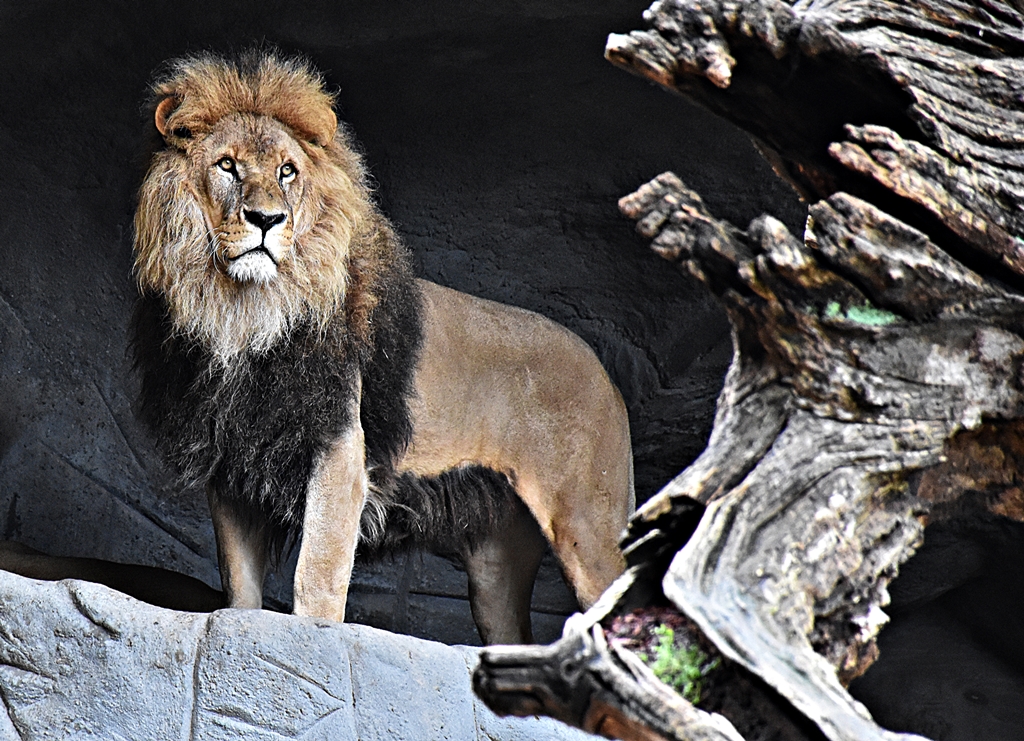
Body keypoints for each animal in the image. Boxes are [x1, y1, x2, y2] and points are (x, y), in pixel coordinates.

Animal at [130, 51, 634, 644]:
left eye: (287, 171)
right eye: (227, 166)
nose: (266, 220)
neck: (246, 315)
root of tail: (605, 376)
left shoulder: (340, 446)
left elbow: (317, 574)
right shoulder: (232, 464)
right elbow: (240, 590)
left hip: (587, 526)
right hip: (497, 562)